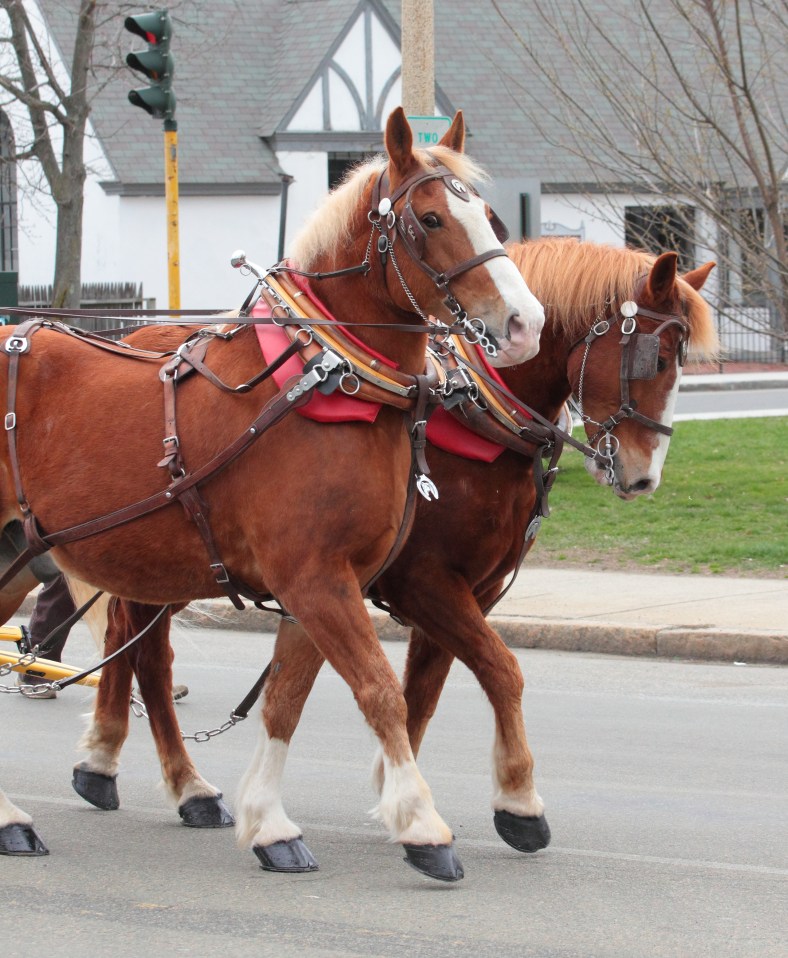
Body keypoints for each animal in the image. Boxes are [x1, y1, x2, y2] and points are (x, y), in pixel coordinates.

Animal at [0, 106, 544, 872]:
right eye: (431, 218)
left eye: (491, 217)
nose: (526, 324)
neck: (332, 382)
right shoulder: (315, 577)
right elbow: (381, 692)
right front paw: (420, 823)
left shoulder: (327, 582)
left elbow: (287, 698)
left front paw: (268, 822)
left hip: (24, 554)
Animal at [61, 238, 717, 874]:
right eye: (656, 359)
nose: (642, 477)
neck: (474, 412)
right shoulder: (423, 582)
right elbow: (499, 671)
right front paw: (513, 800)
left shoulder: (467, 589)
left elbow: (426, 688)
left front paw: (396, 794)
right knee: (146, 651)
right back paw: (164, 777)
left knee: (132, 639)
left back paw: (114, 764)